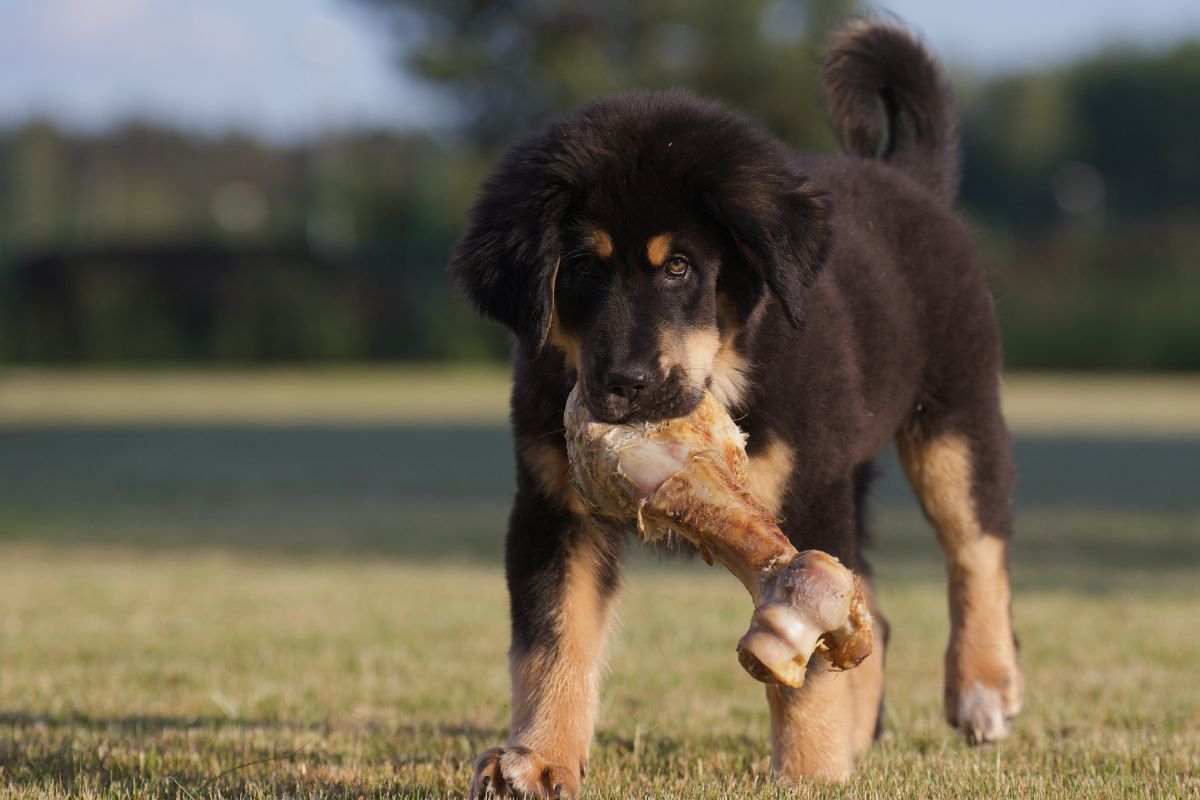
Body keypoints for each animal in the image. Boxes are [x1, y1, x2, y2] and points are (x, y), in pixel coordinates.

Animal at [451, 21, 1022, 796]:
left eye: (679, 267)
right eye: (582, 267)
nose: (624, 384)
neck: (726, 364)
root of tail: (906, 178)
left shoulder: (806, 494)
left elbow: (808, 660)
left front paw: (810, 772)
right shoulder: (553, 507)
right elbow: (552, 639)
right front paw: (538, 758)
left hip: (953, 418)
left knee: (976, 551)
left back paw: (982, 688)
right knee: (875, 612)